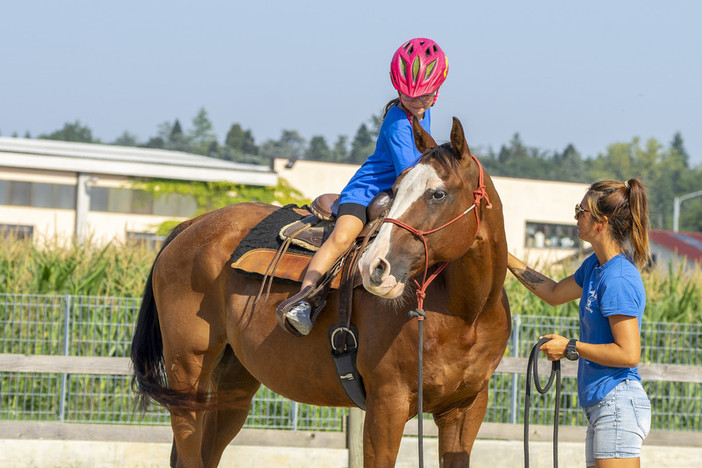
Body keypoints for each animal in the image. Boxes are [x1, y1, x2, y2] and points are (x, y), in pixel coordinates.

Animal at [133, 117, 512, 468]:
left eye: (438, 194)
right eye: (398, 188)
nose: (375, 266)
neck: (465, 314)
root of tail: (192, 225)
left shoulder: (465, 411)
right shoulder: (387, 405)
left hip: (233, 384)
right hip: (188, 372)